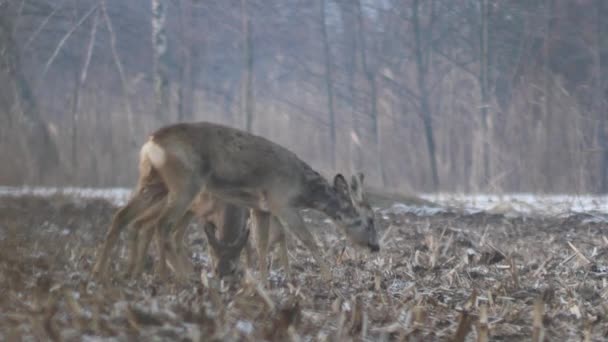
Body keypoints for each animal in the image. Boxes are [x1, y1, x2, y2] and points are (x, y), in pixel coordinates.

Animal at [91, 121, 378, 282]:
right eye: (369, 221)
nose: (375, 246)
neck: (302, 189)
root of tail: (152, 143)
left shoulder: (261, 208)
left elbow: (262, 243)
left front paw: (263, 281)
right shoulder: (281, 201)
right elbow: (307, 239)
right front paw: (328, 277)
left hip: (154, 182)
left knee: (123, 216)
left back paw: (105, 273)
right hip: (185, 183)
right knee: (162, 225)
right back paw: (174, 278)